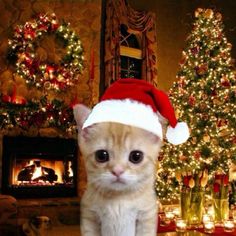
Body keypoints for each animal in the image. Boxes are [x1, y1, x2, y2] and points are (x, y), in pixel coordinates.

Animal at [74, 104, 162, 236]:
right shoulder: (89, 217)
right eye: (101, 155)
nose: (117, 171)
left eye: (136, 156)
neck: (118, 198)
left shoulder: (146, 217)